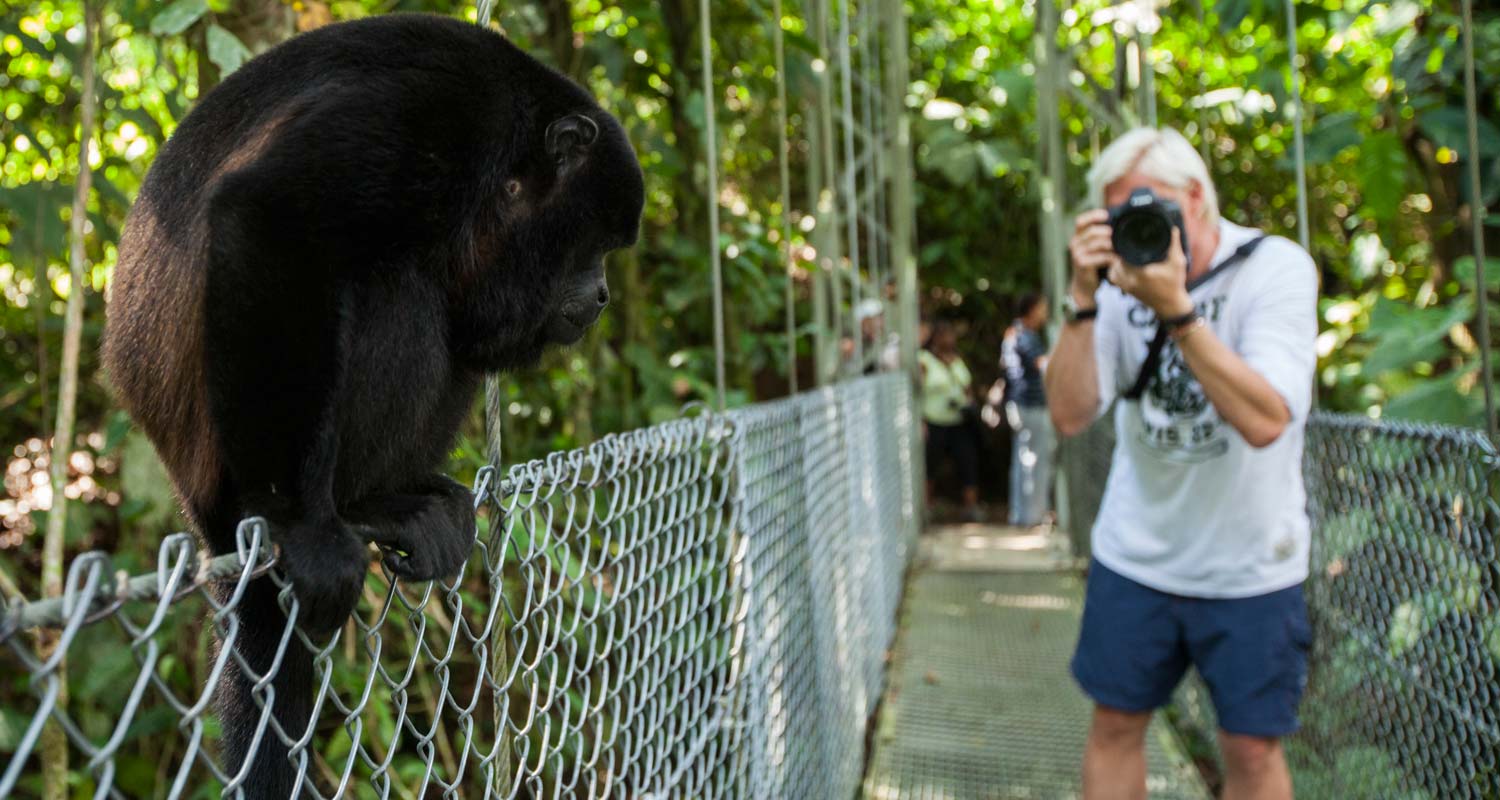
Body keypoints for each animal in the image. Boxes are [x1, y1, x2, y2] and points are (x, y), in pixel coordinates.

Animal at [102, 14, 642, 798]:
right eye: (597, 241)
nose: (600, 294)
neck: (505, 157)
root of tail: (201, 512)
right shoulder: (430, 121)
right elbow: (268, 216)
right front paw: (301, 529)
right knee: (399, 287)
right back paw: (355, 509)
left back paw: (411, 493)